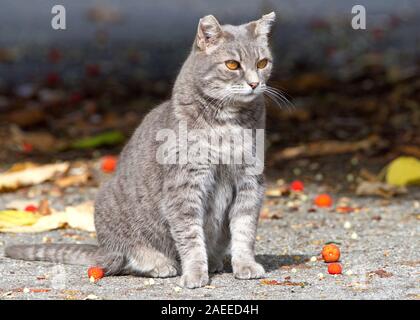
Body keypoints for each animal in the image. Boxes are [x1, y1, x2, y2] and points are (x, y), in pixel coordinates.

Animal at [5, 11, 278, 288]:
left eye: (262, 63)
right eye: (232, 65)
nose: (254, 83)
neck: (229, 124)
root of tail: (101, 250)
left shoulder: (250, 182)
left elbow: (245, 230)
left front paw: (245, 265)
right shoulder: (183, 186)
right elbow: (190, 236)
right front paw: (194, 273)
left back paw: (214, 262)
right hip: (110, 210)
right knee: (127, 257)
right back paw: (161, 264)